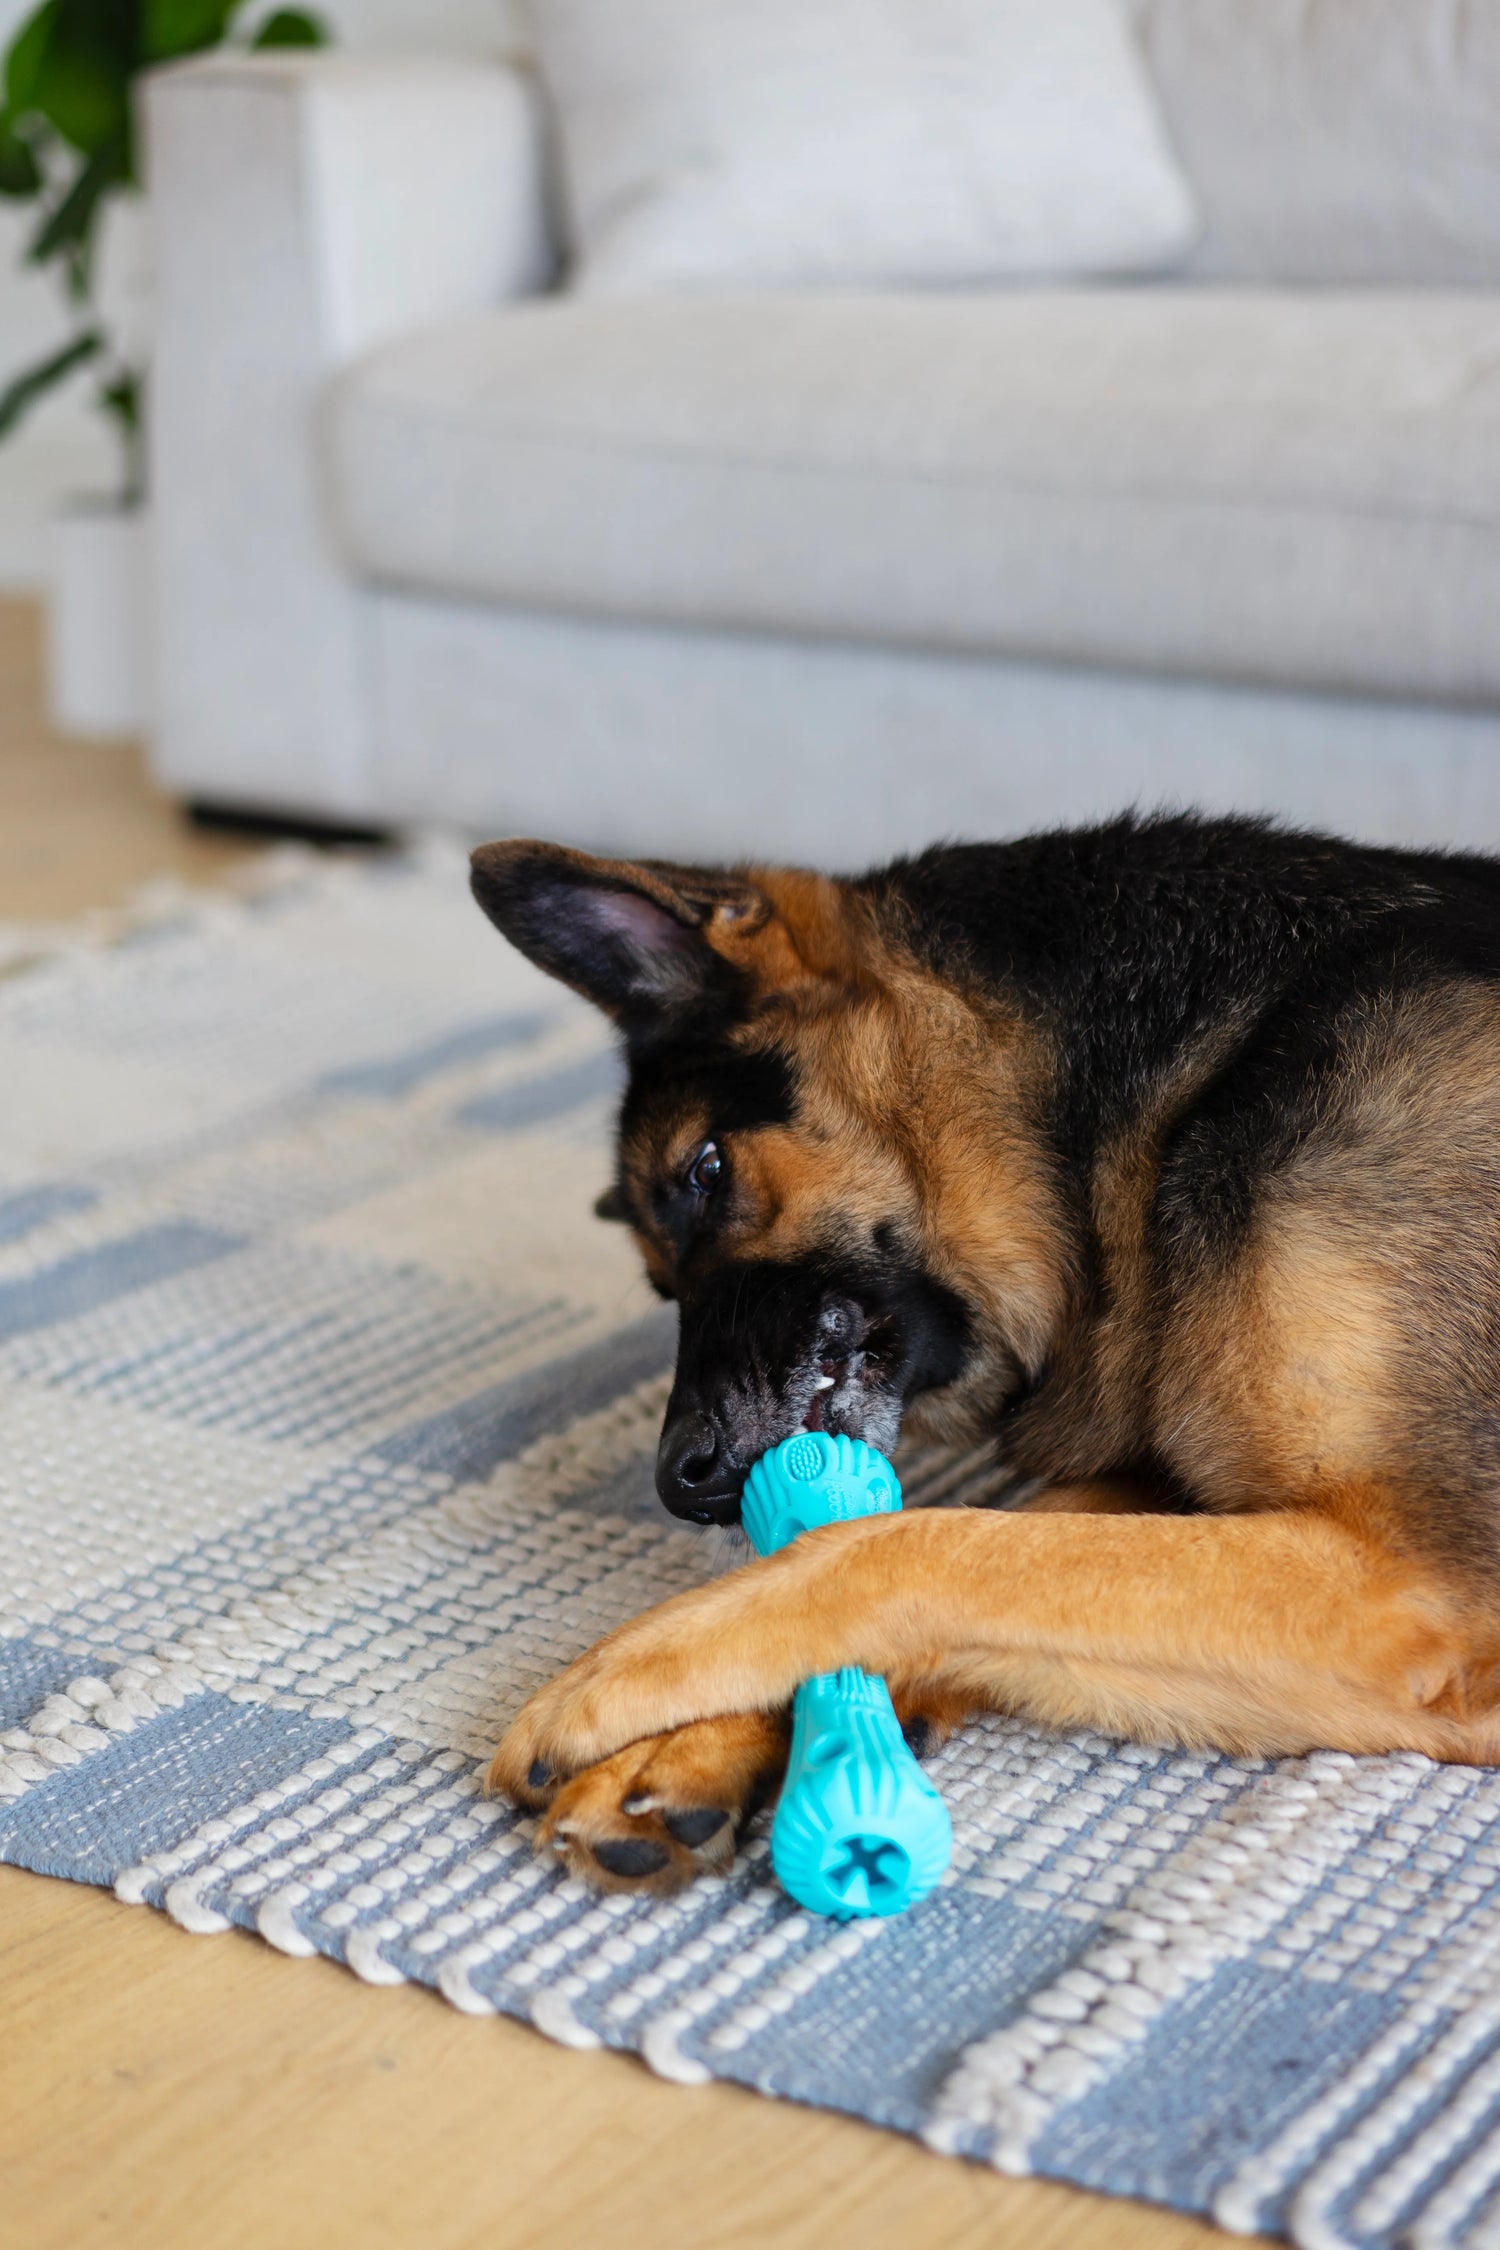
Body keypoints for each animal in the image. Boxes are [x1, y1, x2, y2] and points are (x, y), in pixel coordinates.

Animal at [474, 819, 1500, 1890]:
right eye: (660, 1284)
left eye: (706, 1170)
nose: (682, 1481)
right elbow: (983, 1539)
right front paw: (682, 1747)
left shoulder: (1406, 1586)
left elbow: (909, 1544)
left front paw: (623, 1676)